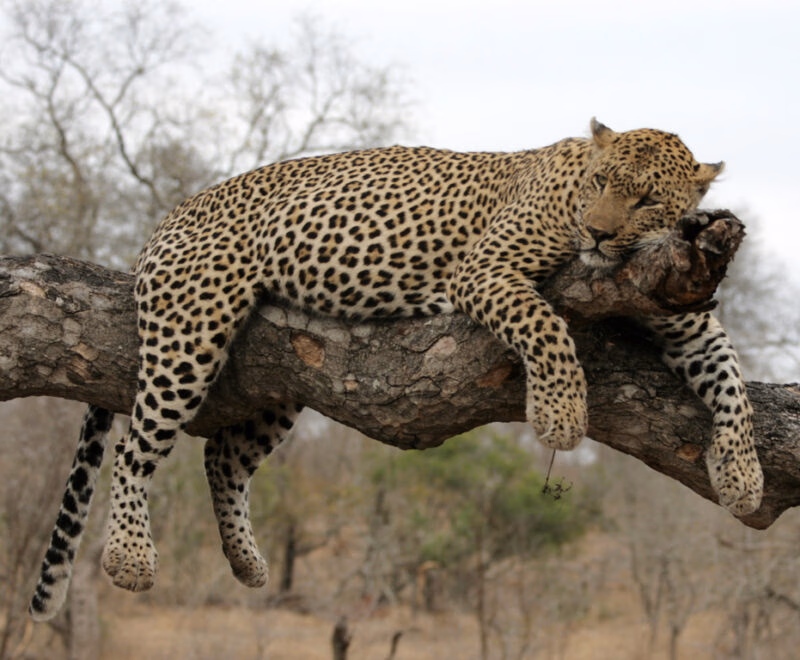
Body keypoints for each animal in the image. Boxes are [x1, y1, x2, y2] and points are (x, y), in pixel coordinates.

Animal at [29, 119, 763, 620]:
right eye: (601, 184)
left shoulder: (679, 304)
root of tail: (165, 218)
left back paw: (247, 564)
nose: (600, 234)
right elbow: (547, 325)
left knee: (221, 459)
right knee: (134, 446)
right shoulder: (486, 268)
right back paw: (129, 558)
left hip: (282, 376)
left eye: (647, 201)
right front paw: (559, 414)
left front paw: (744, 479)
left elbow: (732, 383)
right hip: (192, 328)